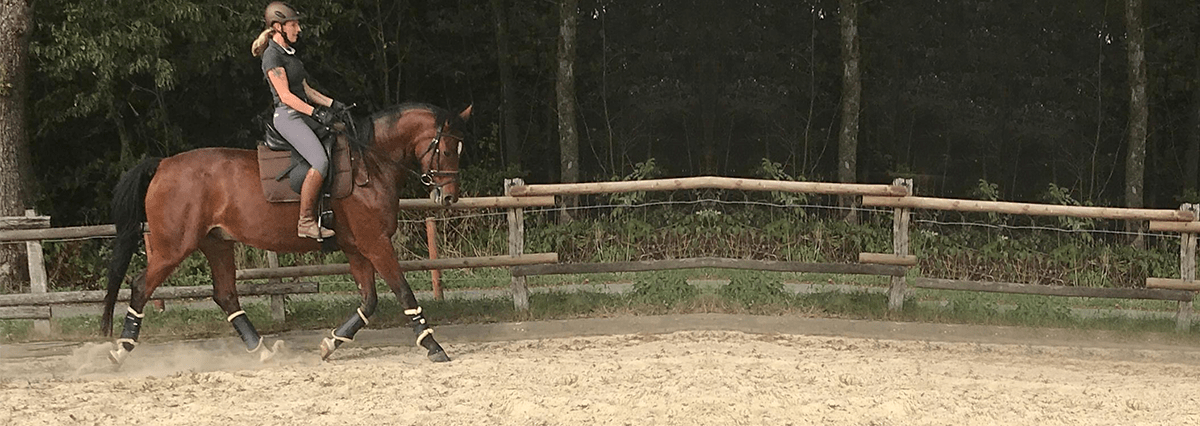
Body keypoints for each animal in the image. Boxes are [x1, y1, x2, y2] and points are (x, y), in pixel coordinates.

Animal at [100, 102, 470, 364]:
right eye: (445, 149)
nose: (449, 197)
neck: (370, 162)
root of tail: (163, 164)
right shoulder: (376, 243)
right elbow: (404, 293)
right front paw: (433, 346)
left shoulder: (356, 248)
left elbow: (369, 301)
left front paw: (330, 344)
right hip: (173, 247)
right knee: (140, 285)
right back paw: (121, 349)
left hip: (216, 243)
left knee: (225, 295)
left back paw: (261, 350)